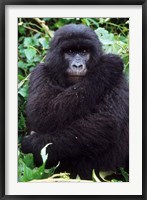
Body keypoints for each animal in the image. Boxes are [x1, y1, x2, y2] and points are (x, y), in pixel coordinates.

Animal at [21, 23, 128, 180]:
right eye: (70, 51)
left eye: (84, 51)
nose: (77, 66)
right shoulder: (39, 72)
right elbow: (42, 113)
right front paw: (106, 67)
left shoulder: (120, 78)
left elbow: (106, 121)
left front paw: (33, 144)